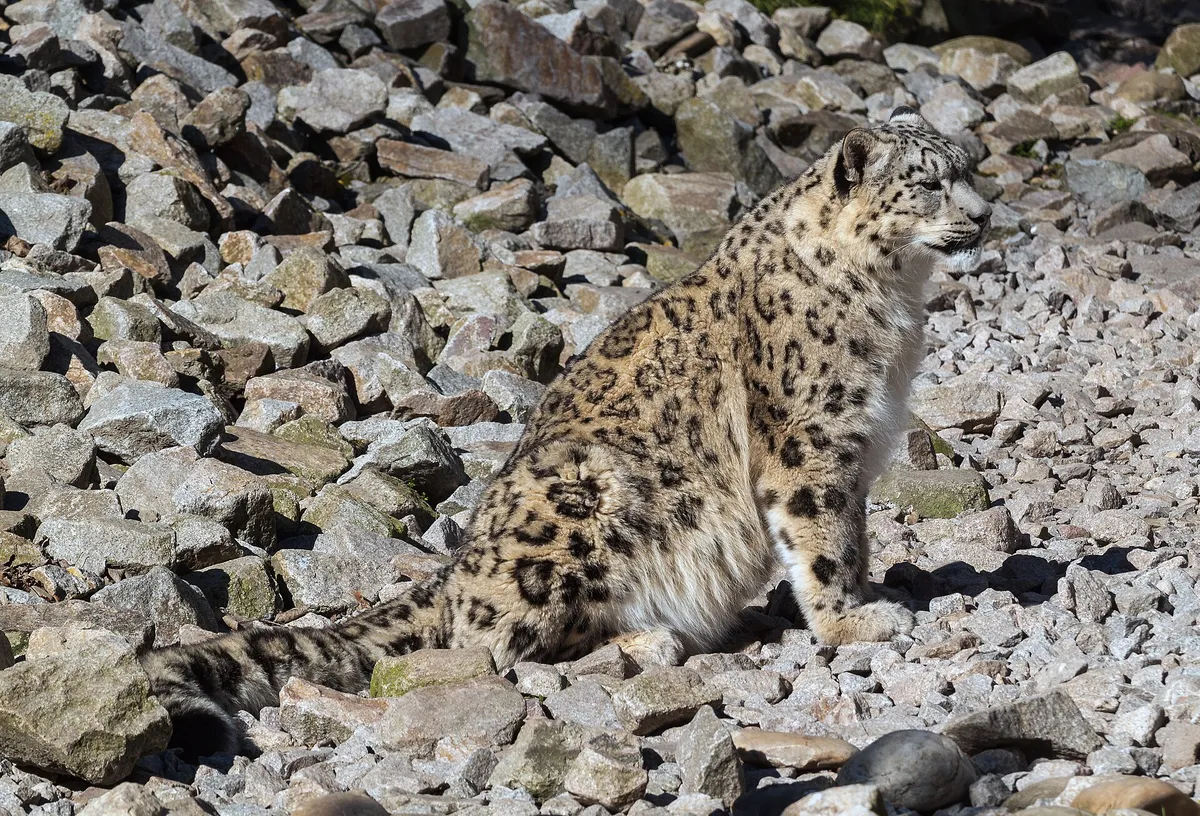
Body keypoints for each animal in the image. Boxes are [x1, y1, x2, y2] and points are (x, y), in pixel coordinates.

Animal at [142, 107, 991, 758]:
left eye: (968, 168)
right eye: (929, 181)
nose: (985, 215)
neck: (897, 309)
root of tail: (458, 571)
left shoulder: (859, 448)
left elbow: (853, 533)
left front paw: (876, 588)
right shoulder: (810, 439)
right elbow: (821, 538)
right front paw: (854, 617)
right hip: (584, 496)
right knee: (498, 652)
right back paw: (646, 641)